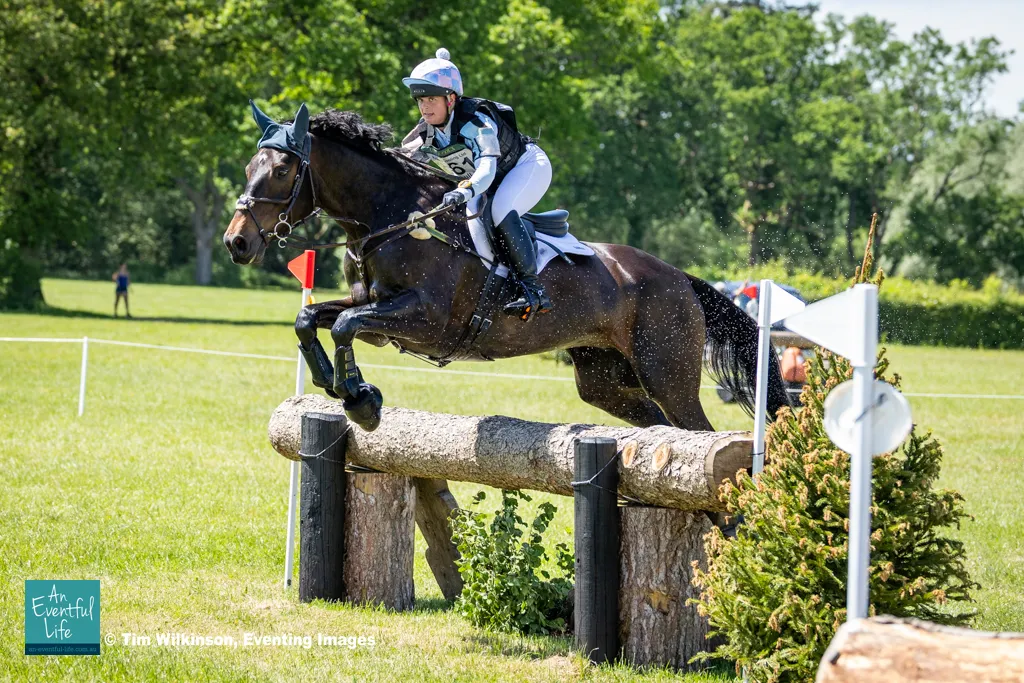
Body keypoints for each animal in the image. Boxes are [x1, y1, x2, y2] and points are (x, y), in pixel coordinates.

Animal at [223, 105, 790, 433]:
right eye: (249, 167)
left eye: (282, 170)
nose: (237, 242)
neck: (390, 216)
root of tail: (678, 277)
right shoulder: (373, 308)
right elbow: (312, 319)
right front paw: (336, 386)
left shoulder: (426, 320)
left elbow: (342, 325)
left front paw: (360, 402)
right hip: (605, 380)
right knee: (657, 429)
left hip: (666, 373)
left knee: (697, 433)